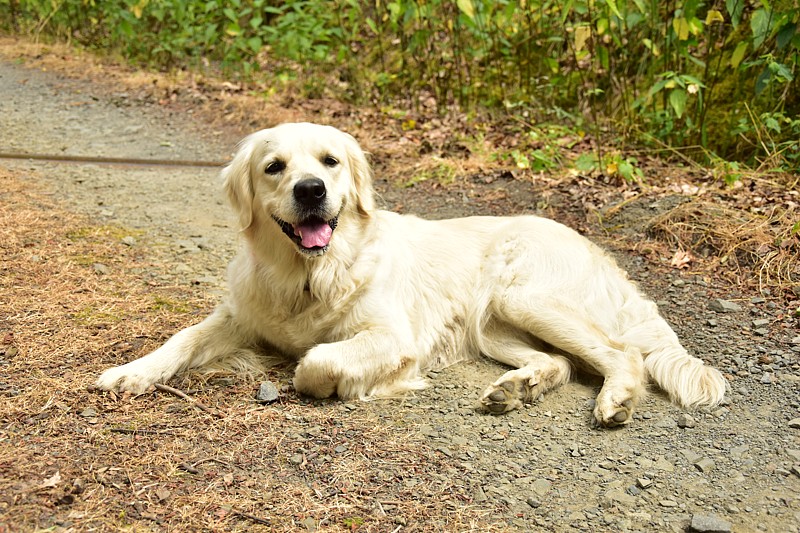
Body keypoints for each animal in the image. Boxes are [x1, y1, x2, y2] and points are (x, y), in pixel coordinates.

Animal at [97, 122, 728, 426]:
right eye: (274, 167)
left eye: (330, 161)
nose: (311, 190)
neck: (310, 273)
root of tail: (597, 249)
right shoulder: (240, 316)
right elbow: (182, 339)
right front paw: (131, 372)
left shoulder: (391, 334)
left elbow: (313, 362)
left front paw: (352, 385)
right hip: (494, 326)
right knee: (562, 363)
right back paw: (517, 388)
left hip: (526, 296)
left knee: (621, 355)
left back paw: (615, 401)